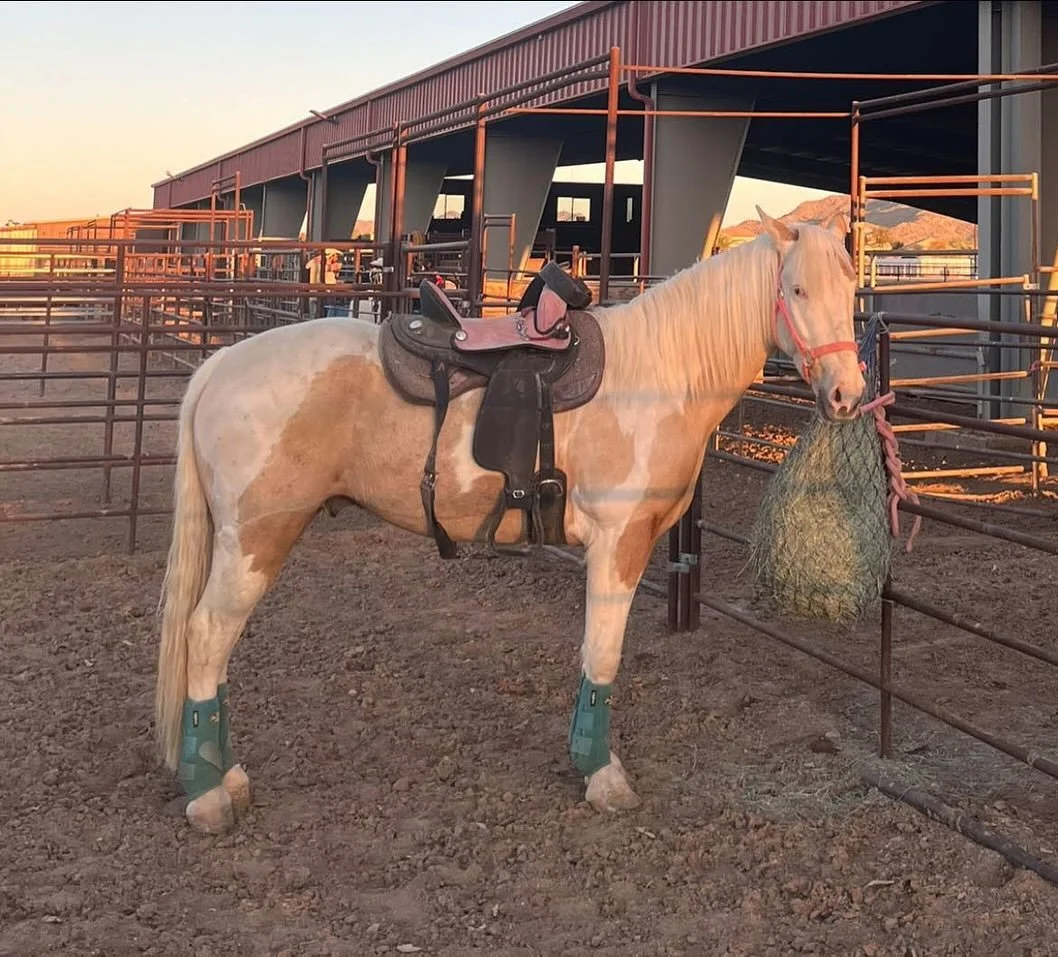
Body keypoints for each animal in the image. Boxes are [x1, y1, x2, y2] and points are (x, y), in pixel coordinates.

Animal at [154, 207, 863, 835]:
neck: (658, 376)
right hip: (256, 539)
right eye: (797, 289)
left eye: (852, 289)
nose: (847, 395)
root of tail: (218, 367)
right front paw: (600, 774)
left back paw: (225, 774)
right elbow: (602, 654)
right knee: (207, 635)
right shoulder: (619, 544)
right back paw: (208, 792)